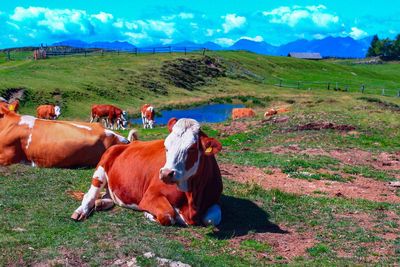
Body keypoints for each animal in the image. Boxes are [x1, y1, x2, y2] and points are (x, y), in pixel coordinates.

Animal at [71, 118, 222, 227]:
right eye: (166, 146)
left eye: (191, 148)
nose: (166, 173)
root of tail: (131, 143)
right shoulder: (150, 196)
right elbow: (168, 215)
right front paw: (149, 214)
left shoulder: (214, 199)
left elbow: (211, 219)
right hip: (101, 169)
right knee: (89, 195)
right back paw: (81, 211)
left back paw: (101, 203)